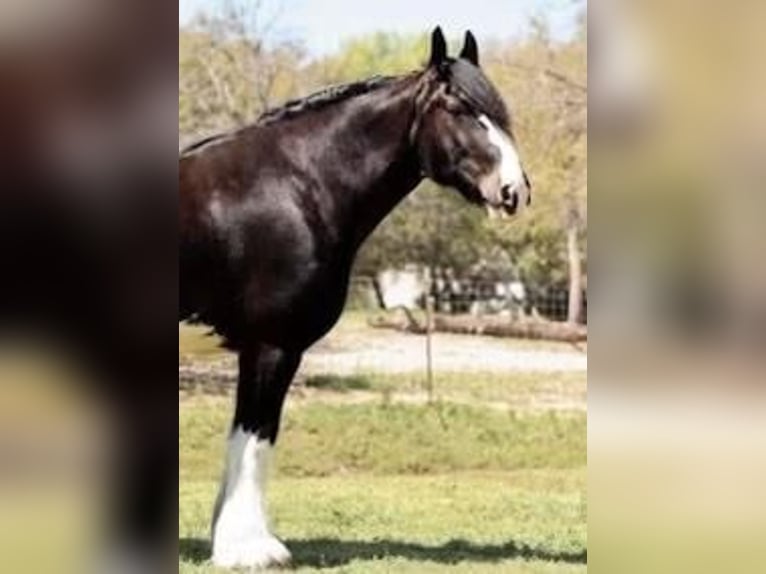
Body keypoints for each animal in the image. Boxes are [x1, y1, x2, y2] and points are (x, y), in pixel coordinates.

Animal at [181, 28, 532, 572]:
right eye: (457, 106)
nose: (514, 190)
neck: (295, 185)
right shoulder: (271, 346)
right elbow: (254, 438)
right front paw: (250, 548)